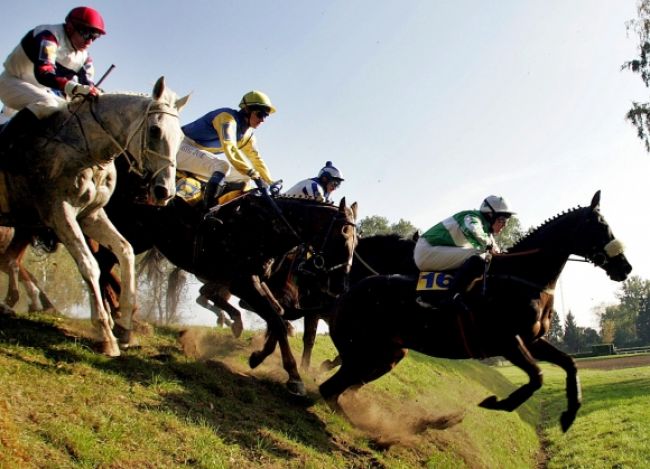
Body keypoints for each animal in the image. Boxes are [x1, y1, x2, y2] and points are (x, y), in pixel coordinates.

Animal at [318, 191, 628, 432]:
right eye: (600, 226)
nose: (625, 267)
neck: (522, 277)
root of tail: (345, 294)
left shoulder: (532, 340)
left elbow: (570, 364)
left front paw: (570, 413)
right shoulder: (506, 341)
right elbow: (537, 376)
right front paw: (497, 402)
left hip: (386, 356)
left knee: (338, 389)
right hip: (363, 355)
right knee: (329, 390)